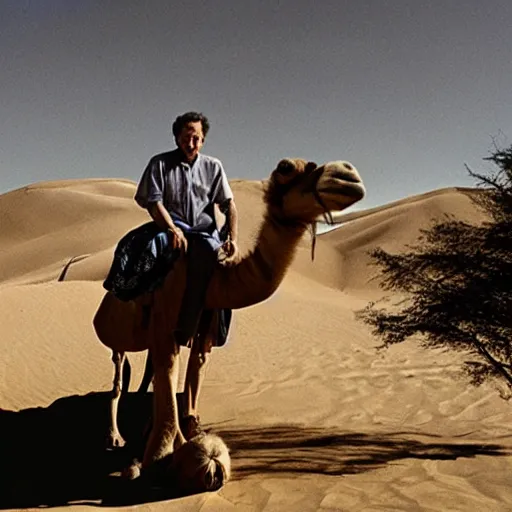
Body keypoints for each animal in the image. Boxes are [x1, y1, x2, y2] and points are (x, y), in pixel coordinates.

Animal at [92, 156, 364, 480]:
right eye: (286, 167)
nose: (347, 173)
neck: (214, 281)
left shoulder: (203, 325)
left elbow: (193, 368)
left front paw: (189, 431)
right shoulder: (167, 317)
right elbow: (169, 374)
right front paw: (156, 455)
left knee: (147, 372)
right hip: (117, 337)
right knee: (118, 378)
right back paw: (113, 437)